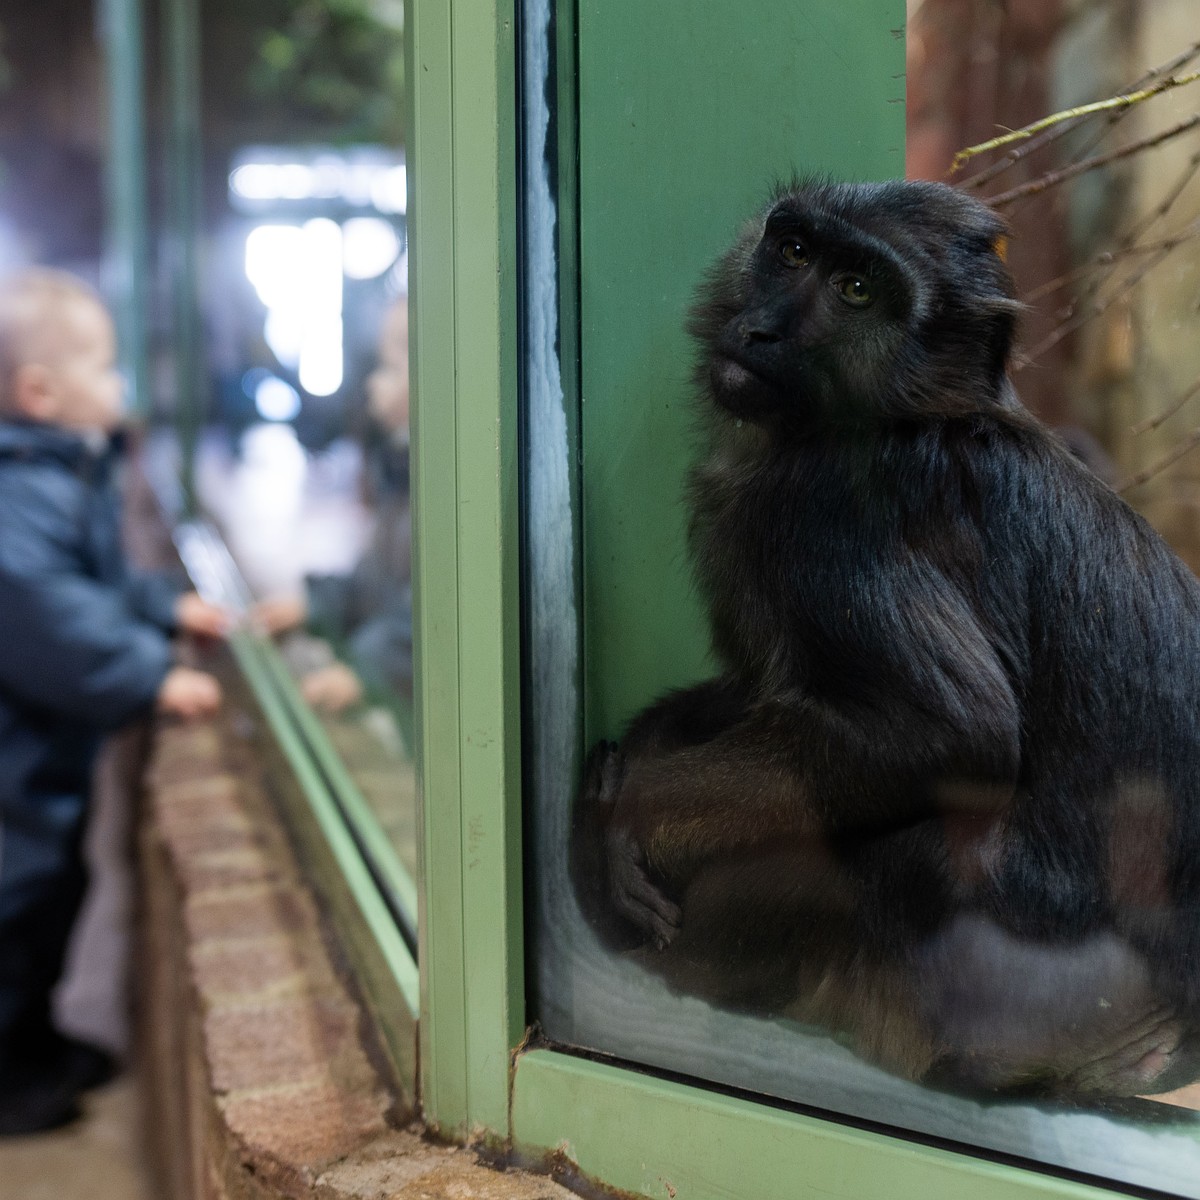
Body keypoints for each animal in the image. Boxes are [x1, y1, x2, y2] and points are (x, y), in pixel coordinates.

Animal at [583, 177, 1200, 1099]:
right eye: (794, 251)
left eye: (857, 291)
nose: (760, 330)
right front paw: (644, 750)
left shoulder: (829, 513)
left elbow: (950, 736)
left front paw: (630, 815)